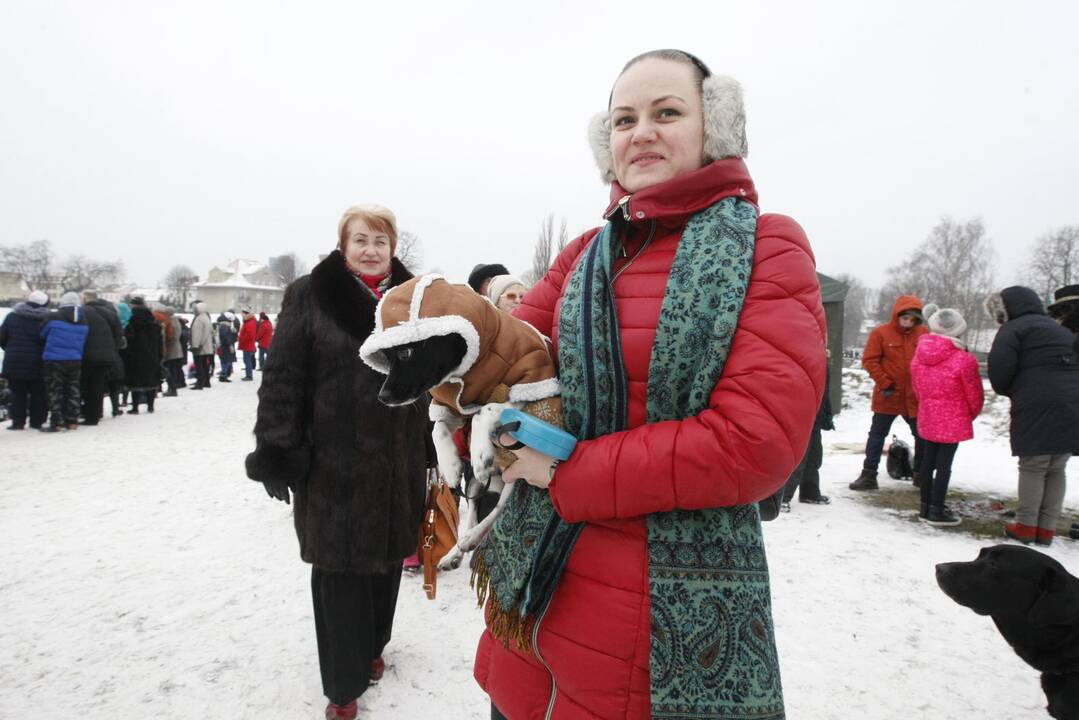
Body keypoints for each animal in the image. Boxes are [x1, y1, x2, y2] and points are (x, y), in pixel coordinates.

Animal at [362, 274, 565, 569]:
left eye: (406, 353)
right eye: (387, 357)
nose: (383, 396)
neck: (469, 370)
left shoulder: (529, 386)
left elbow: (484, 410)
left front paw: (480, 453)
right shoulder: (451, 407)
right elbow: (437, 429)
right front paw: (449, 465)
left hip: (519, 470)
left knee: (497, 509)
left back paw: (472, 537)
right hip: (478, 484)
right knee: (473, 508)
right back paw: (456, 551)